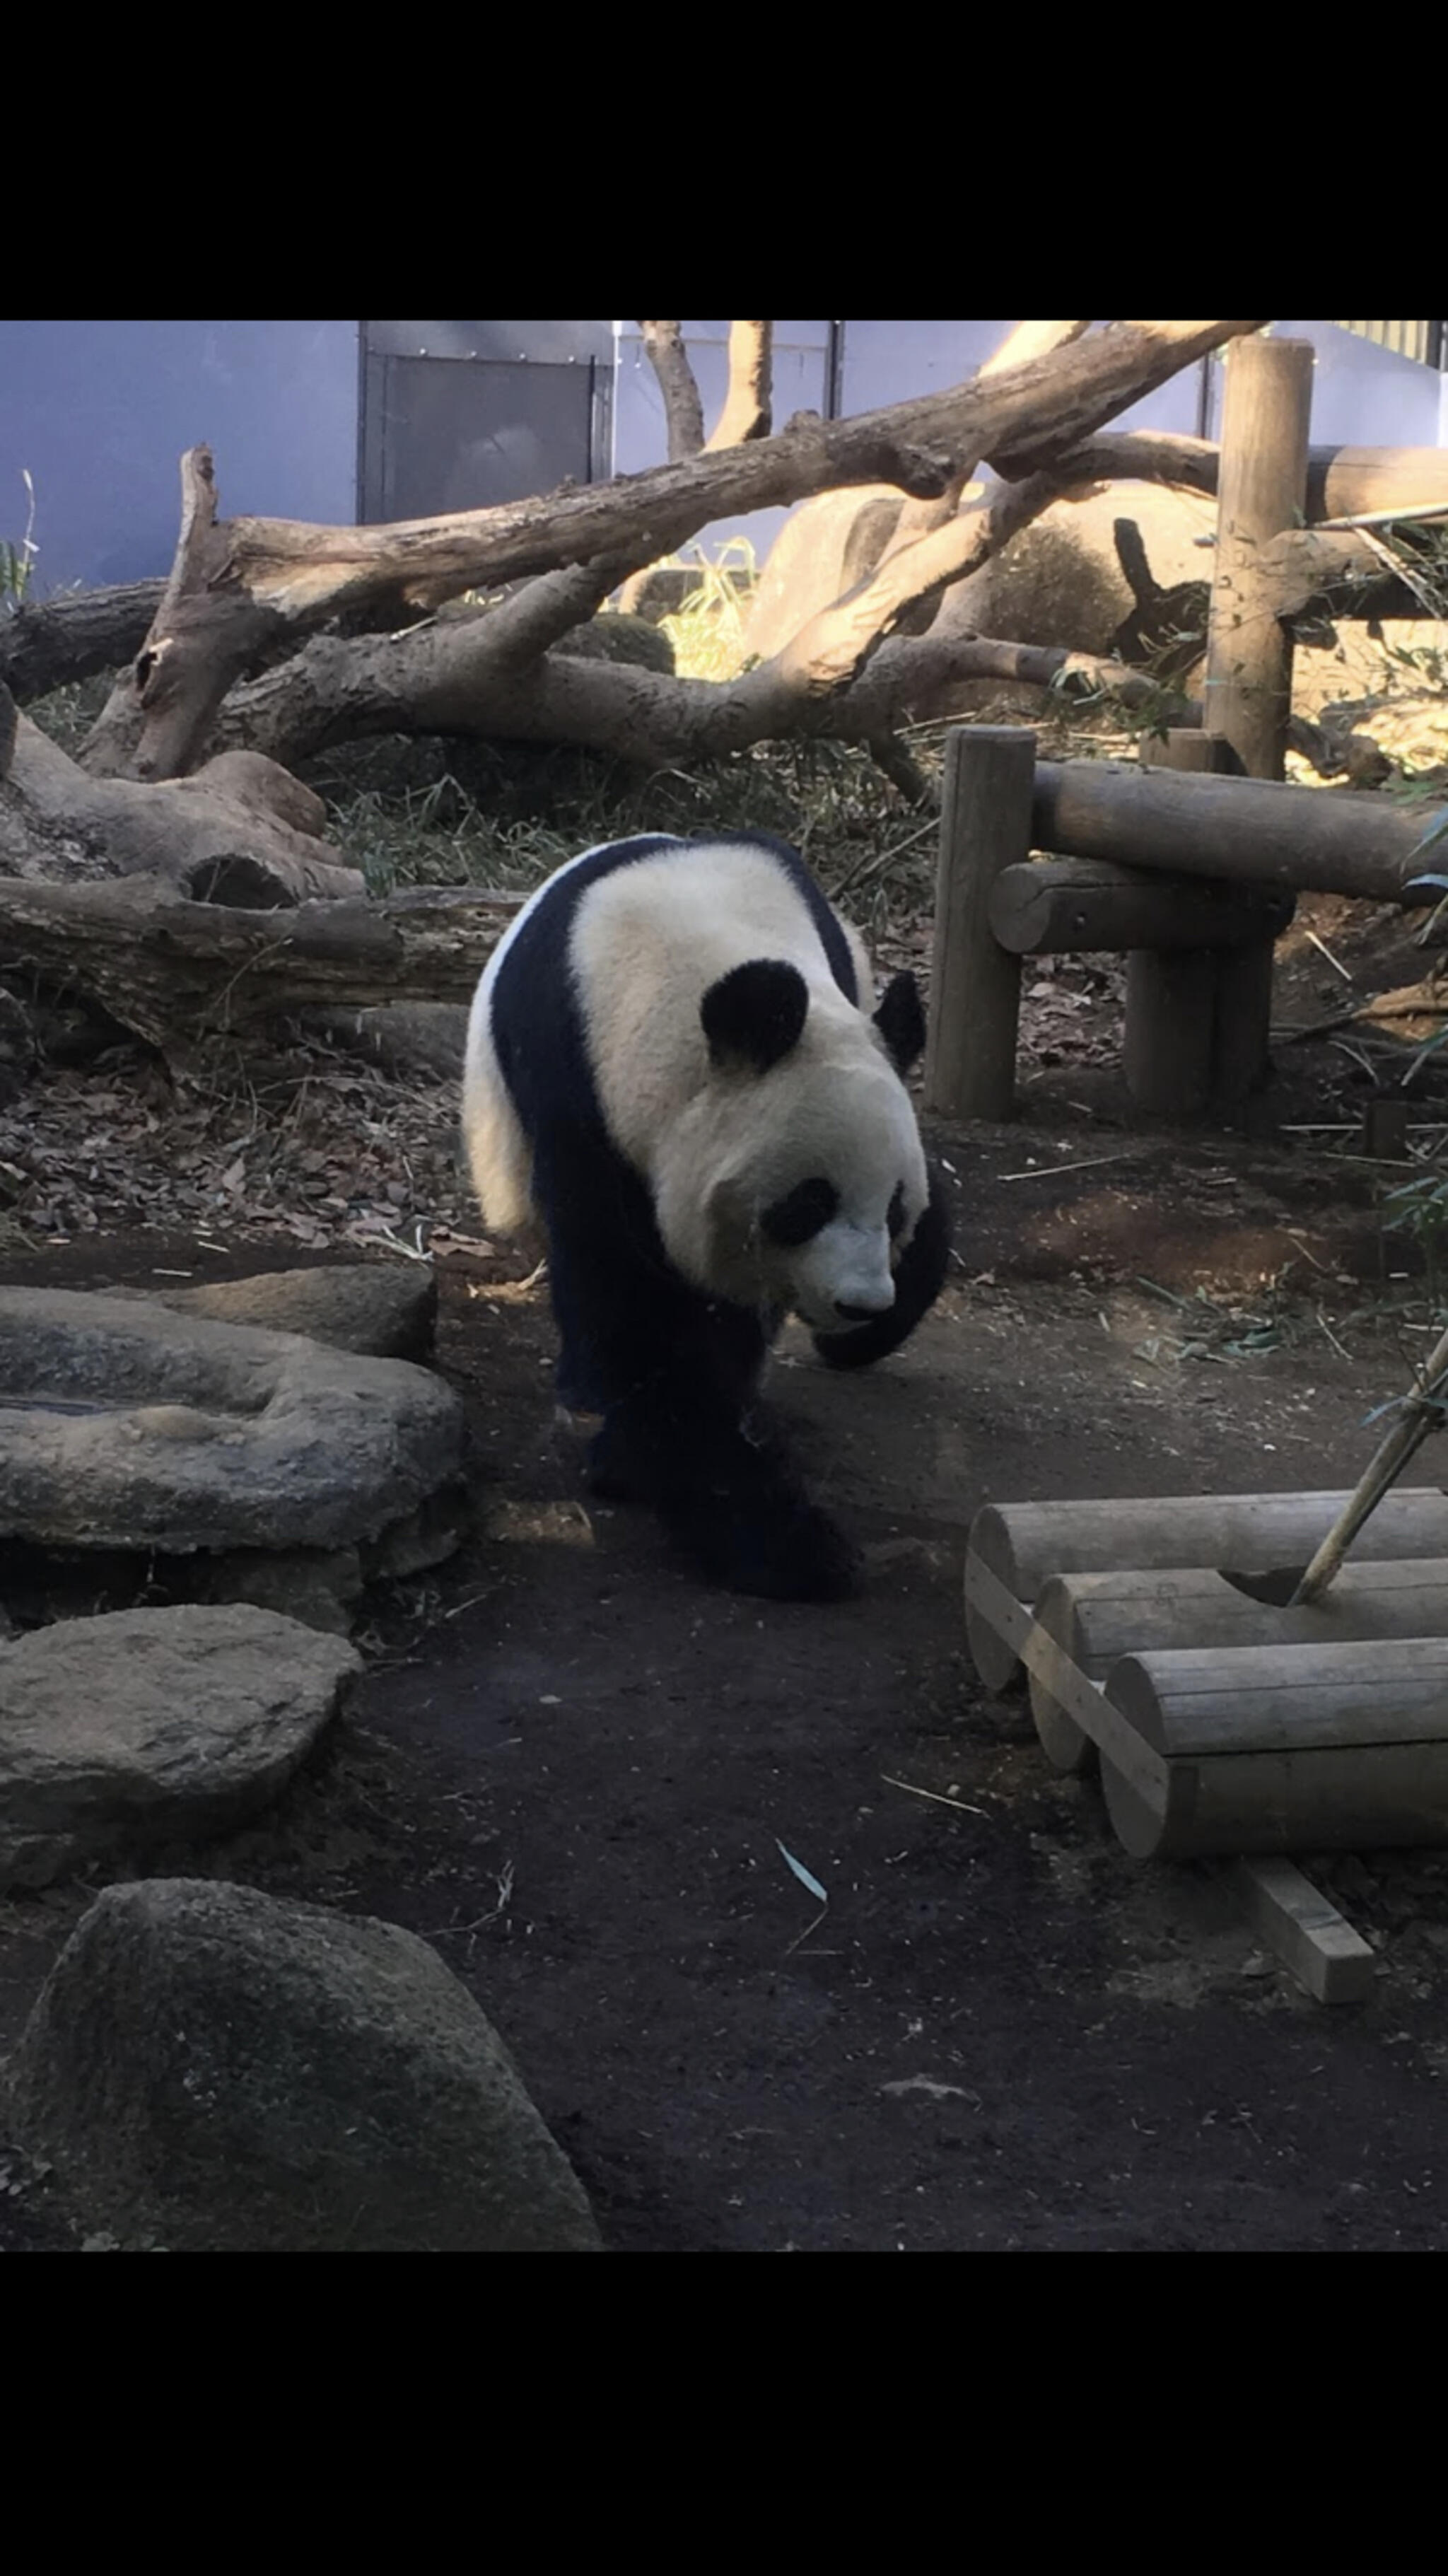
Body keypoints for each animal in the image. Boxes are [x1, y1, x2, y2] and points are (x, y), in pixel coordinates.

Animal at [461, 834, 953, 1597]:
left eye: (894, 1204)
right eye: (806, 1204)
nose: (861, 1304)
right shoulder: (575, 1102)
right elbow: (625, 1309)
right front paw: (786, 1541)